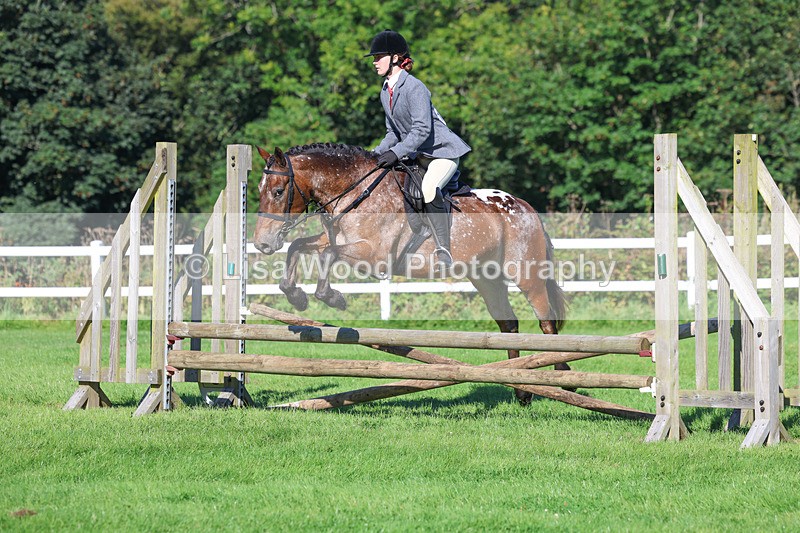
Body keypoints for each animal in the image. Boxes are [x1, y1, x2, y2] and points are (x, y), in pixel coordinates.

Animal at [252, 142, 568, 404]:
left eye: (278, 192)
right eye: (258, 191)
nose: (262, 244)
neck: (356, 192)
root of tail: (524, 206)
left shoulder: (376, 257)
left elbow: (327, 255)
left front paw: (333, 298)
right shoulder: (337, 240)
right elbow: (298, 247)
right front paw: (296, 297)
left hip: (525, 274)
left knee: (546, 323)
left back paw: (563, 377)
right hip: (486, 278)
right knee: (509, 325)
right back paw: (522, 390)